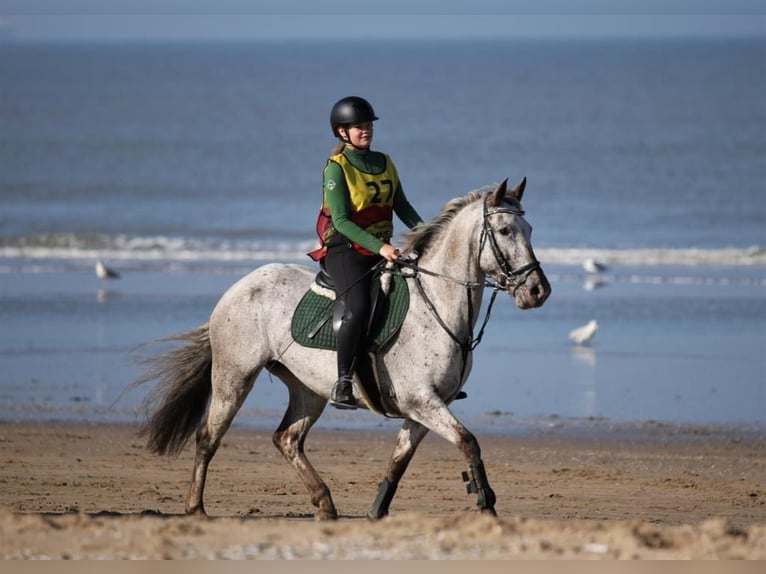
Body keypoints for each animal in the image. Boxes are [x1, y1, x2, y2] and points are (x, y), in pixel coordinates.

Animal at [134, 179, 552, 520]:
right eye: (504, 230)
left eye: (530, 229)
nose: (538, 291)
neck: (436, 303)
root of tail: (238, 287)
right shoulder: (422, 401)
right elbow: (469, 442)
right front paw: (486, 503)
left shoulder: (425, 409)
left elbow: (398, 461)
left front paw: (376, 511)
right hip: (234, 377)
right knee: (208, 436)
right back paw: (196, 508)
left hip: (307, 388)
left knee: (287, 438)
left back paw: (325, 504)